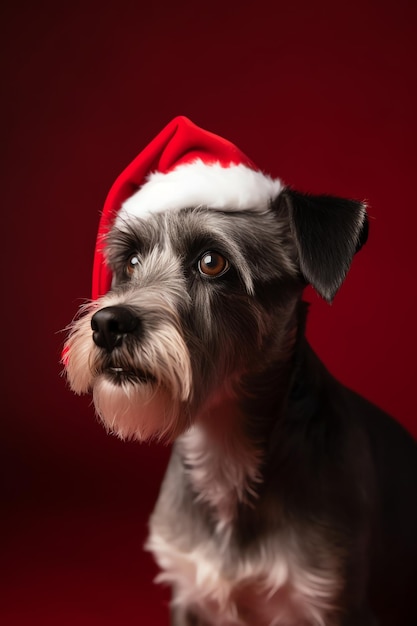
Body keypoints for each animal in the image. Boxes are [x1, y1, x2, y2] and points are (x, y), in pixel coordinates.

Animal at [64, 118, 416, 624]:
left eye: (212, 262)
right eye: (130, 262)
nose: (108, 325)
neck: (223, 448)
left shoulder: (331, 601)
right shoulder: (189, 595)